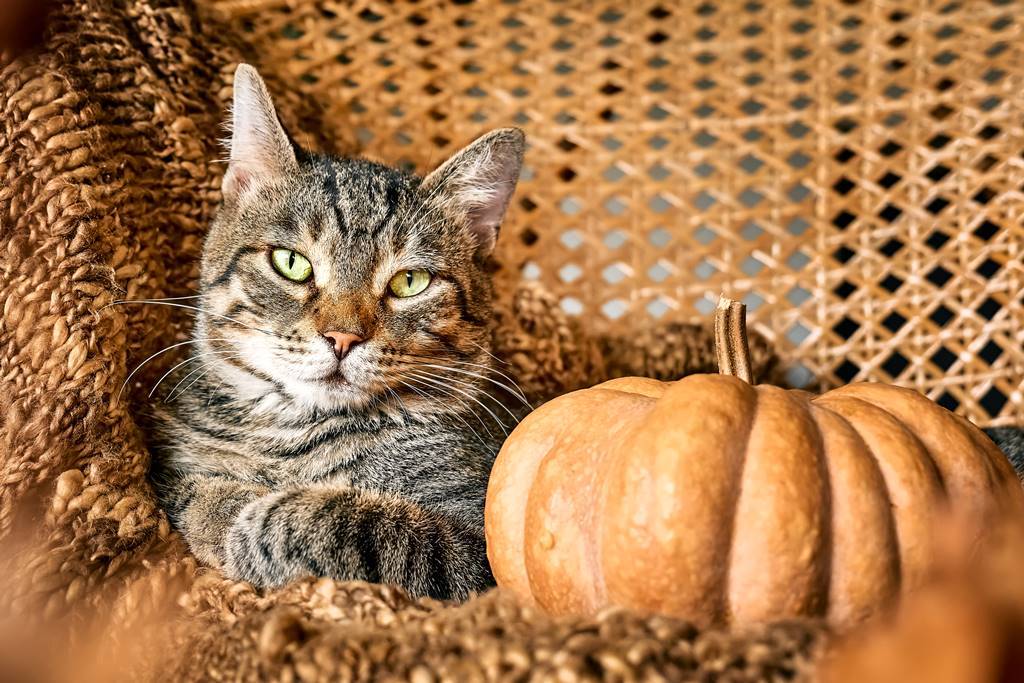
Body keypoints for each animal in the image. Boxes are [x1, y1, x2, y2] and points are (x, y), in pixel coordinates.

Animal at [149, 62, 528, 598]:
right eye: (291, 263)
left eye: (410, 281)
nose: (343, 338)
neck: (294, 436)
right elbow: (187, 483)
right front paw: (219, 504)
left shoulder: (483, 553)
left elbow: (352, 522)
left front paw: (244, 519)